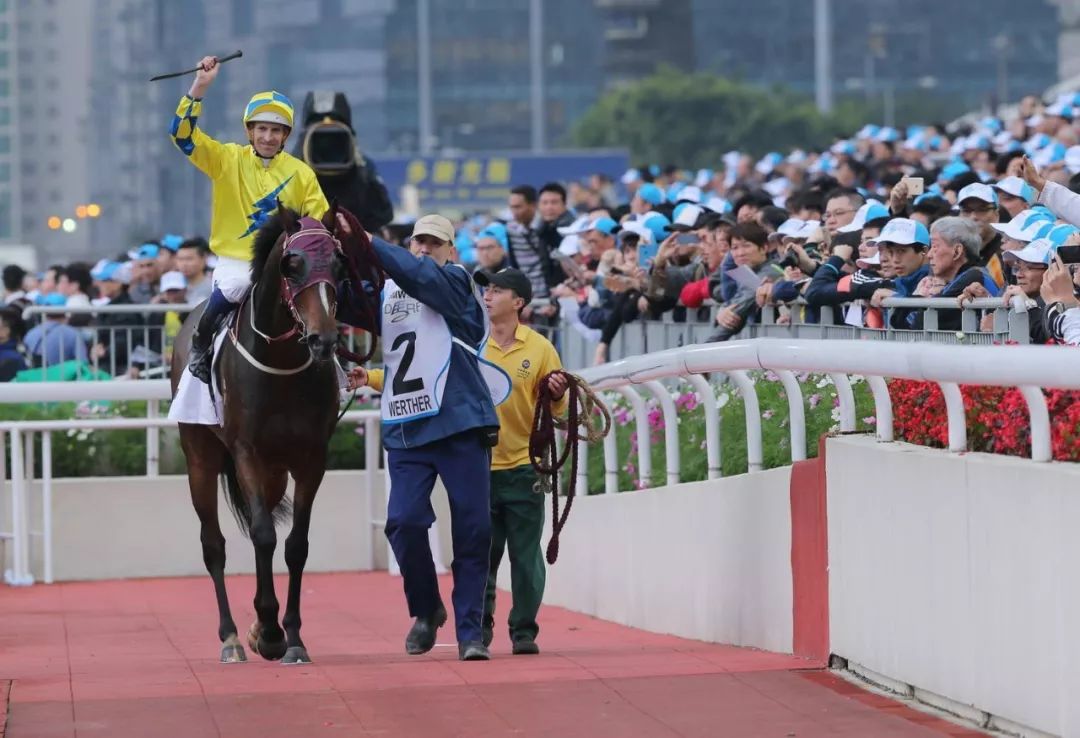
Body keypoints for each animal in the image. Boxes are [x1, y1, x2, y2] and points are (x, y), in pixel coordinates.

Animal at [171, 205, 380, 665]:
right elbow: (264, 535)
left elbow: (295, 545)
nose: (324, 339)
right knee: (214, 543)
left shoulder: (310, 458)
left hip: (274, 473)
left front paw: (292, 636)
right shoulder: (246, 451)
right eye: (292, 265)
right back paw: (232, 637)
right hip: (200, 455)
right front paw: (268, 631)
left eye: (339, 265)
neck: (281, 365)